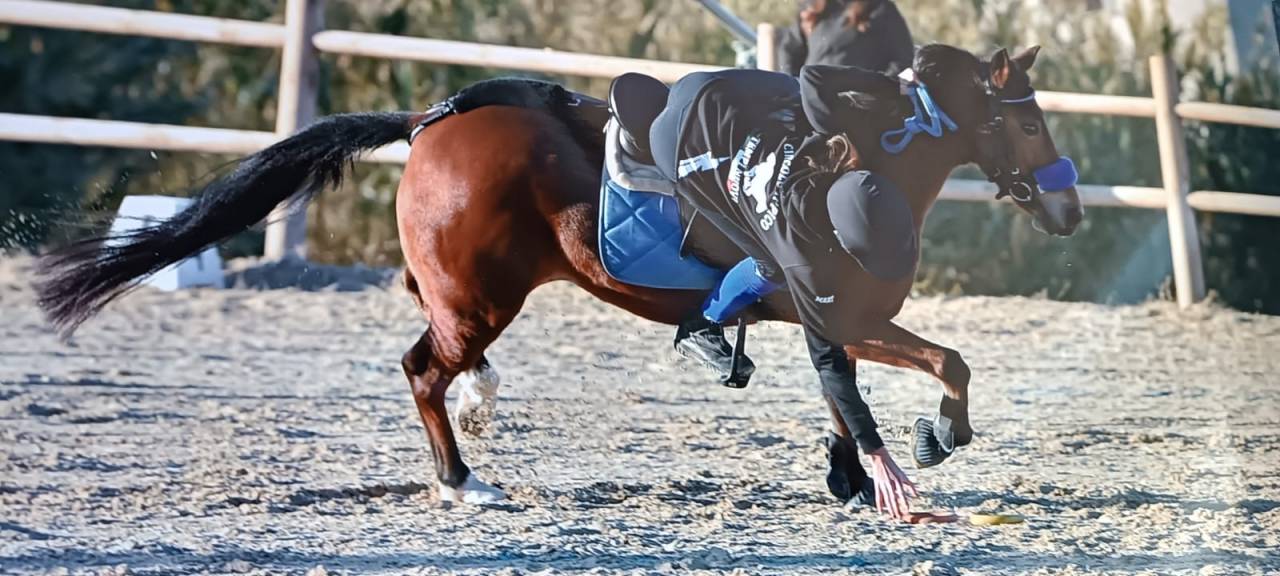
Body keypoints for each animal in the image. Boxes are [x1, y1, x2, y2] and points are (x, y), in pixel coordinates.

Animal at [36, 43, 1083, 505]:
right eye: (1030, 121)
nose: (1069, 212)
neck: (849, 160)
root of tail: (429, 121)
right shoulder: (843, 311)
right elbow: (944, 366)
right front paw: (930, 445)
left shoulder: (832, 318)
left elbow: (849, 395)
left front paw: (855, 475)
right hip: (483, 298)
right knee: (423, 368)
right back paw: (462, 477)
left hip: (468, 295)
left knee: (434, 348)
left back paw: (477, 414)